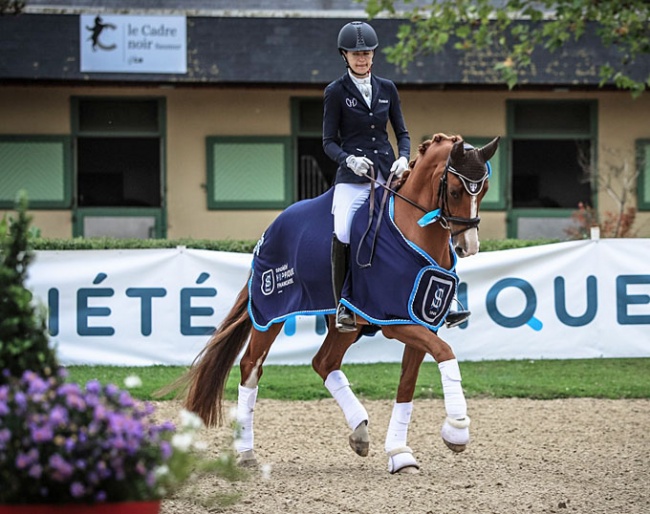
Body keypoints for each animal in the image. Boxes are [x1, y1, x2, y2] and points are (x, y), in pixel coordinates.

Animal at [171, 132, 496, 472]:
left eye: (485, 189)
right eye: (456, 190)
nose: (468, 246)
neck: (415, 231)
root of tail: (270, 229)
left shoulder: (422, 322)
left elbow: (408, 384)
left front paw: (400, 453)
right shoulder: (394, 321)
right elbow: (446, 353)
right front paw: (457, 429)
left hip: (347, 325)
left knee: (324, 362)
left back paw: (360, 432)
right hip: (271, 313)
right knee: (251, 366)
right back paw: (246, 453)